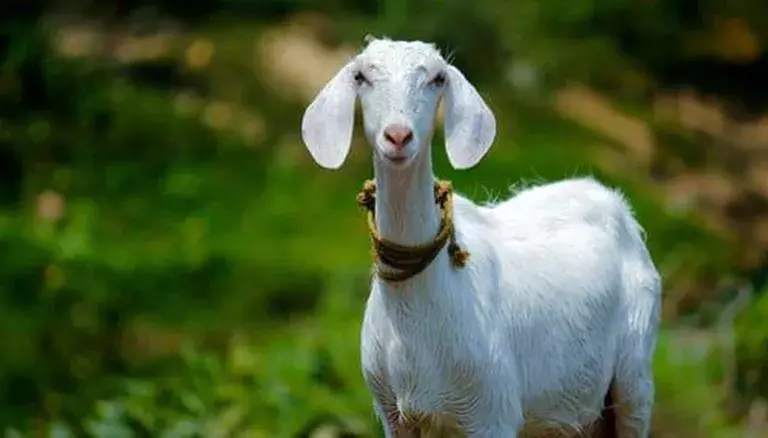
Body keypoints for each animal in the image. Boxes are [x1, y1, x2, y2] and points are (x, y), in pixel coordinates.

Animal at [300, 37, 661, 438]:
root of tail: (613, 201)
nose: (398, 136)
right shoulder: (393, 413)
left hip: (635, 373)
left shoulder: (492, 410)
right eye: (361, 76)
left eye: (438, 78)